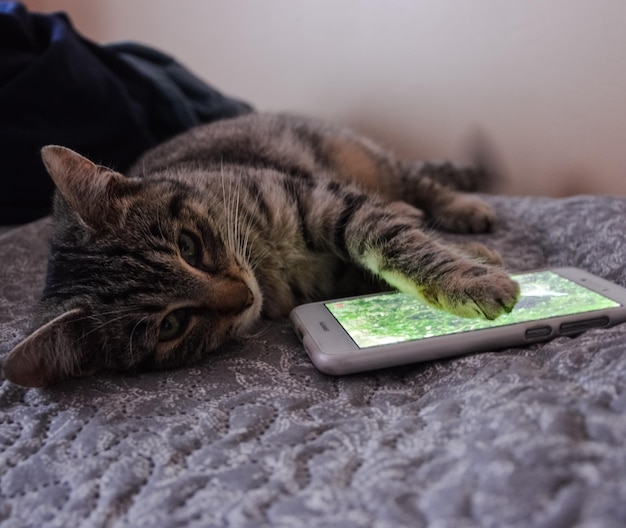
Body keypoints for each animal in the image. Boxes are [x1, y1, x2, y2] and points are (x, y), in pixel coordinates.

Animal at [1, 113, 516, 386]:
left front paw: (472, 275)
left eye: (188, 245)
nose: (245, 297)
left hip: (369, 163)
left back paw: (462, 208)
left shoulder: (324, 201)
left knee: (418, 182)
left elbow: (396, 243)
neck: (264, 260)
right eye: (170, 325)